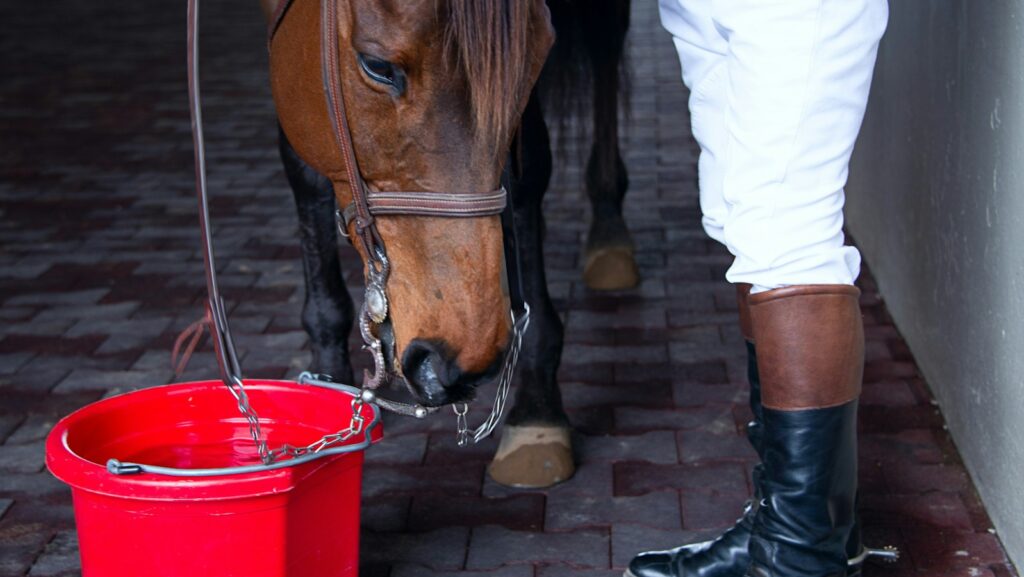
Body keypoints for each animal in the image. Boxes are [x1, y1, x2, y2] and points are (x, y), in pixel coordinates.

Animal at [267, 0, 632, 488]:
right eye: (376, 65)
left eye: (537, 57)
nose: (454, 362)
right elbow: (304, 172)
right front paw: (327, 379)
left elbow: (524, 171)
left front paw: (537, 410)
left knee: (606, 41)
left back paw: (610, 223)